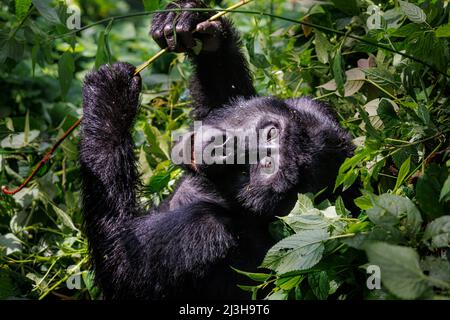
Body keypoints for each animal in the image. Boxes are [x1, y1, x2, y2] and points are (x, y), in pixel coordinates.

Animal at [80, 0, 356, 300]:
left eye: (268, 167)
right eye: (271, 132)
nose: (226, 149)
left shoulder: (202, 231)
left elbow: (119, 264)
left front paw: (111, 101)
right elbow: (230, 95)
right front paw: (197, 24)